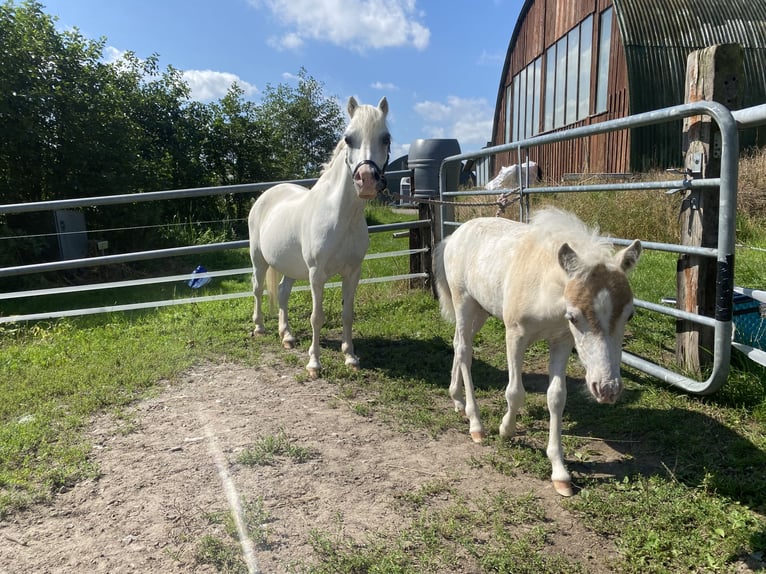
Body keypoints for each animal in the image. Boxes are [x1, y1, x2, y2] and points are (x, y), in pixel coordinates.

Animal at [248, 97, 390, 380]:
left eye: (386, 138)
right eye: (348, 138)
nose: (367, 181)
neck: (340, 216)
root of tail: (265, 195)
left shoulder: (353, 272)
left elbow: (347, 314)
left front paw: (351, 357)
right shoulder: (316, 274)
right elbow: (317, 317)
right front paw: (314, 363)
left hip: (290, 266)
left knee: (282, 292)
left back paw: (287, 336)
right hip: (259, 260)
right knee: (258, 288)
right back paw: (259, 328)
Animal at [436, 209, 644, 498]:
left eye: (630, 315)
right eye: (574, 316)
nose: (607, 389)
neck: (545, 288)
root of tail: (455, 235)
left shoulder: (562, 341)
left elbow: (556, 397)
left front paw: (560, 473)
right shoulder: (515, 335)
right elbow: (515, 392)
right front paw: (506, 430)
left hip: (481, 310)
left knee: (457, 344)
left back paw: (457, 400)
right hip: (464, 302)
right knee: (465, 352)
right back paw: (475, 423)